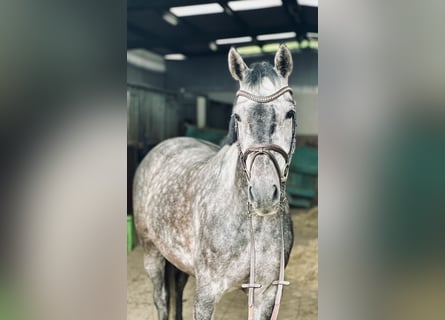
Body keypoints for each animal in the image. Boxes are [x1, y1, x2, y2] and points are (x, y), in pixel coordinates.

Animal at [134, 45, 296, 320]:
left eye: (290, 113)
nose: (263, 194)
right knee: (161, 298)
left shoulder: (266, 294)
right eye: (237, 116)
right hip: (151, 251)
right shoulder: (206, 295)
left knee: (177, 287)